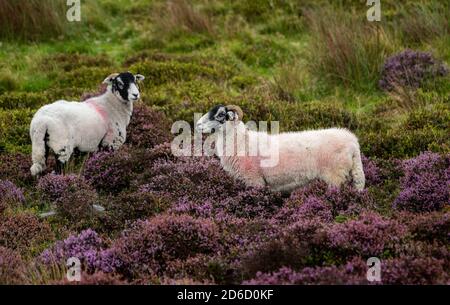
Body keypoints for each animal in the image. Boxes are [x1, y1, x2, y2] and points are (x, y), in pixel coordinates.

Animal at [195, 103, 364, 191]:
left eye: (220, 115)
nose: (197, 125)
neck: (242, 141)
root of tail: (352, 141)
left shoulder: (254, 180)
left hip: (335, 176)